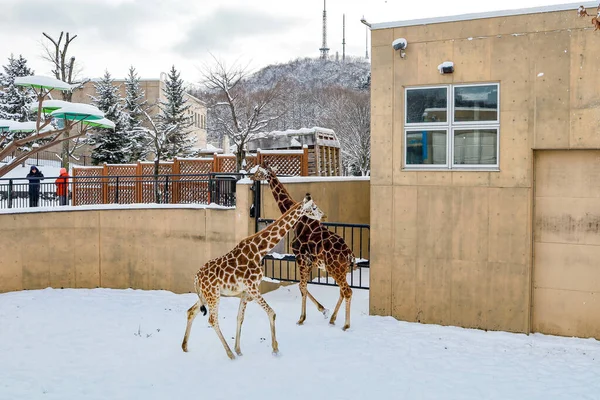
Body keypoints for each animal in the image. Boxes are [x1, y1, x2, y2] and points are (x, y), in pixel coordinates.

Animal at [182, 194, 324, 360]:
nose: (323, 215)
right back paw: (229, 354)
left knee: (191, 311)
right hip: (213, 295)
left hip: (206, 295)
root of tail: (196, 277)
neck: (259, 250)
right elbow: (272, 312)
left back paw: (185, 347)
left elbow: (240, 318)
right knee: (212, 319)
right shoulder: (253, 287)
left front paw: (239, 349)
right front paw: (275, 349)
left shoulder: (246, 291)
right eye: (313, 207)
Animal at [250, 163, 356, 332]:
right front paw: (323, 310)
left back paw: (346, 324)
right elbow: (303, 286)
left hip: (335, 269)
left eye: (259, 170)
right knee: (342, 291)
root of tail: (349, 253)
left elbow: (302, 286)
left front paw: (301, 318)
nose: (251, 175)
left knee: (347, 291)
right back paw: (333, 319)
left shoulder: (299, 255)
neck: (297, 223)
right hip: (340, 269)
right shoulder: (309, 260)